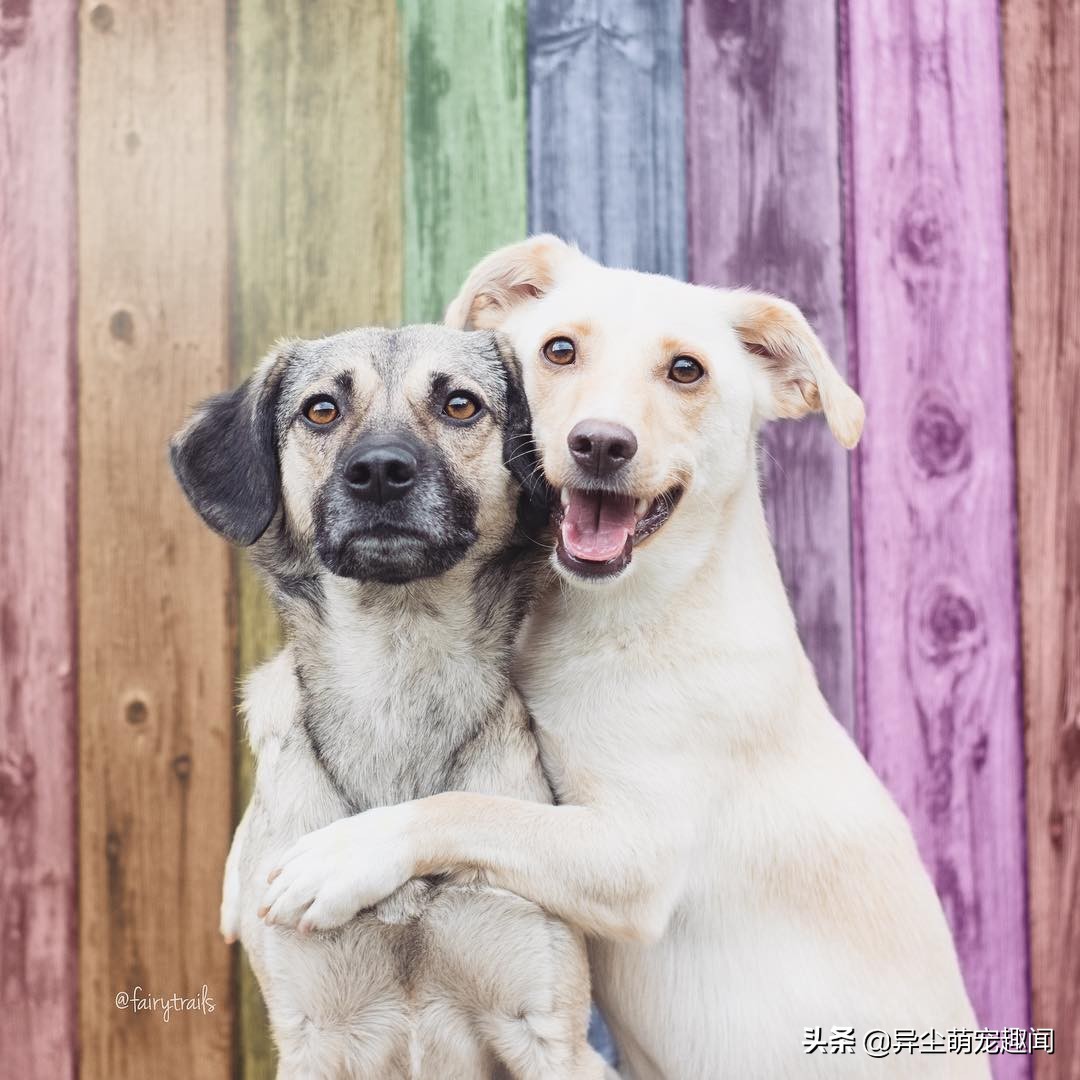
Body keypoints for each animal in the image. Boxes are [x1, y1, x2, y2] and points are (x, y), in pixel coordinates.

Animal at [170, 325, 611, 1080]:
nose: (378, 471)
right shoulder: (311, 1034)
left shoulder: (545, 1029)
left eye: (460, 404)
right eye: (321, 410)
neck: (396, 666)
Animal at [260, 241, 989, 1079]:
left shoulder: (635, 857)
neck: (631, 616)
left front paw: (341, 858)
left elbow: (472, 809)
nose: (600, 444)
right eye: (559, 350)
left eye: (686, 370)